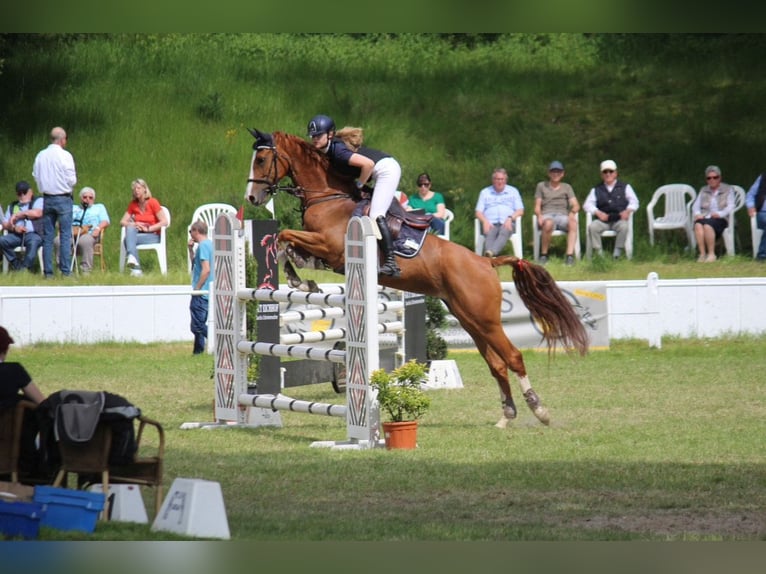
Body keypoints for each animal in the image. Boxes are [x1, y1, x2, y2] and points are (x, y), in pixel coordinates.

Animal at [243, 130, 592, 428]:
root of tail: (485, 261)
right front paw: (301, 280)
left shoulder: (332, 248)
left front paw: (299, 279)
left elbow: (286, 235)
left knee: (513, 357)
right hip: (470, 319)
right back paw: (506, 416)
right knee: (497, 363)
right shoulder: (322, 249)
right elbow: (287, 243)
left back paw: (539, 410)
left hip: (485, 319)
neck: (327, 195)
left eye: (261, 159)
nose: (252, 198)